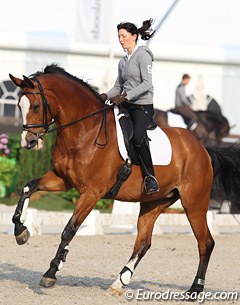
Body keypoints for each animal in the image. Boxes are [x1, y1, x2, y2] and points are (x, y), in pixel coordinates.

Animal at [10, 64, 240, 296]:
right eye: (19, 105)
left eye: (36, 105)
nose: (29, 142)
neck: (85, 131)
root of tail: (203, 148)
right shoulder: (63, 180)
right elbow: (28, 188)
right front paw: (21, 232)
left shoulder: (92, 192)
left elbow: (69, 230)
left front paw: (51, 273)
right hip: (154, 203)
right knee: (143, 243)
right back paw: (119, 283)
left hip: (194, 204)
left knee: (205, 242)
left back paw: (195, 288)